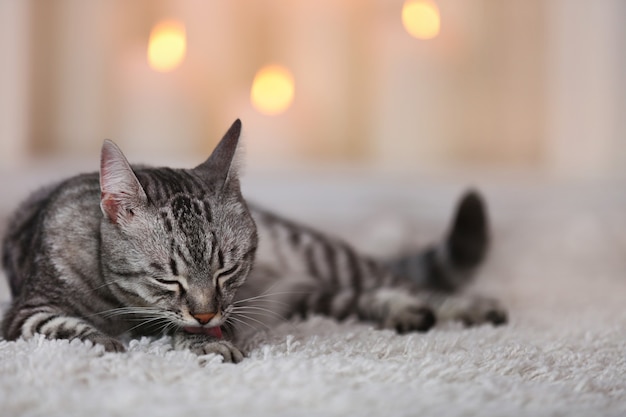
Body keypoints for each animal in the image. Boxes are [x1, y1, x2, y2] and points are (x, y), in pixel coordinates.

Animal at [0, 119, 504, 360]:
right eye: (168, 279)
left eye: (227, 269)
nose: (206, 314)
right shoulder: (26, 314)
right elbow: (66, 326)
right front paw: (105, 343)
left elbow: (173, 328)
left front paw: (205, 342)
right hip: (310, 294)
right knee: (353, 298)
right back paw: (401, 312)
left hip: (320, 254)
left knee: (401, 283)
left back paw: (464, 307)